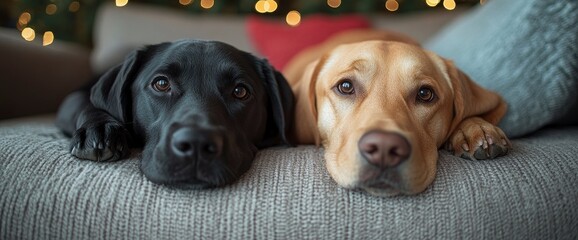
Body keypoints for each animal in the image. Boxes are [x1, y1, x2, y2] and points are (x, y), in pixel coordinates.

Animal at [55, 39, 292, 188]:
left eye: (240, 91)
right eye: (161, 84)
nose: (196, 143)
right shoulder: (72, 100)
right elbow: (84, 104)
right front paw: (99, 130)